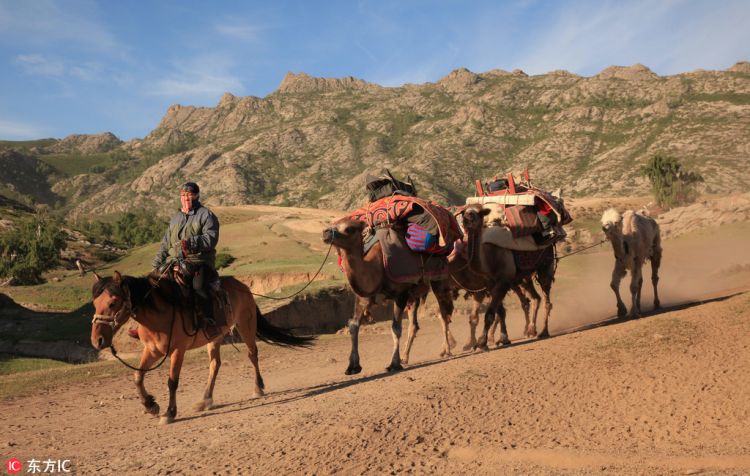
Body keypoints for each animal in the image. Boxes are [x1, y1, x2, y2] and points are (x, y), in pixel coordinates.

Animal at [90, 272, 312, 424]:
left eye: (113, 303)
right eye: (94, 303)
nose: (97, 340)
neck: (159, 315)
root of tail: (243, 287)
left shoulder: (177, 351)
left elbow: (172, 382)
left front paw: (169, 413)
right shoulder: (152, 351)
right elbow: (138, 376)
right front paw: (150, 405)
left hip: (246, 325)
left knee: (252, 355)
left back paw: (258, 388)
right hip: (215, 337)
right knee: (215, 364)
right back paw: (206, 399)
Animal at [322, 220, 456, 376]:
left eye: (349, 228)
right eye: (335, 223)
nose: (325, 232)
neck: (377, 267)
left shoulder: (400, 294)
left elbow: (396, 328)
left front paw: (394, 364)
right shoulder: (363, 296)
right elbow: (353, 325)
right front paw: (353, 366)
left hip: (438, 278)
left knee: (444, 314)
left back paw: (446, 350)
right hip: (414, 294)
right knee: (414, 324)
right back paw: (405, 357)